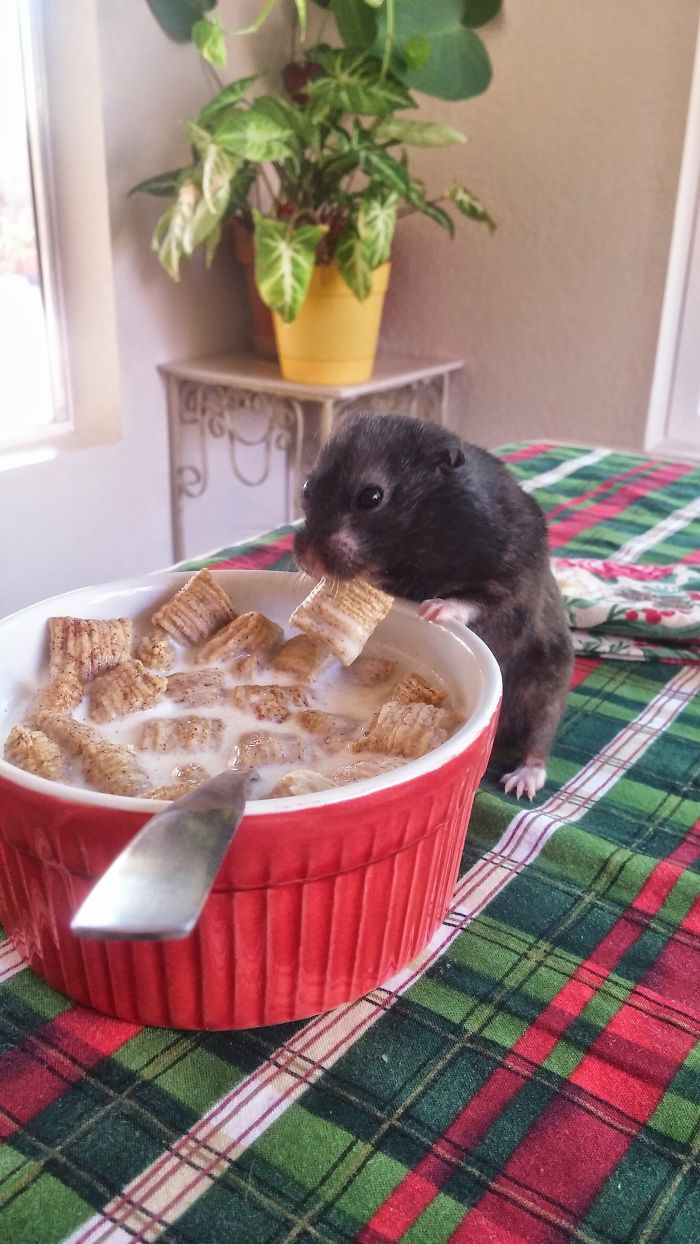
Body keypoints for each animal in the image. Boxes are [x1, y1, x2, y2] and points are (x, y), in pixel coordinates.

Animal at [294, 413, 573, 800]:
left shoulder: (512, 577)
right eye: (307, 486)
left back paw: (521, 782)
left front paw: (433, 611)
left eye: (371, 497)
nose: (308, 561)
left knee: (540, 737)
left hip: (546, 683)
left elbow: (477, 600)